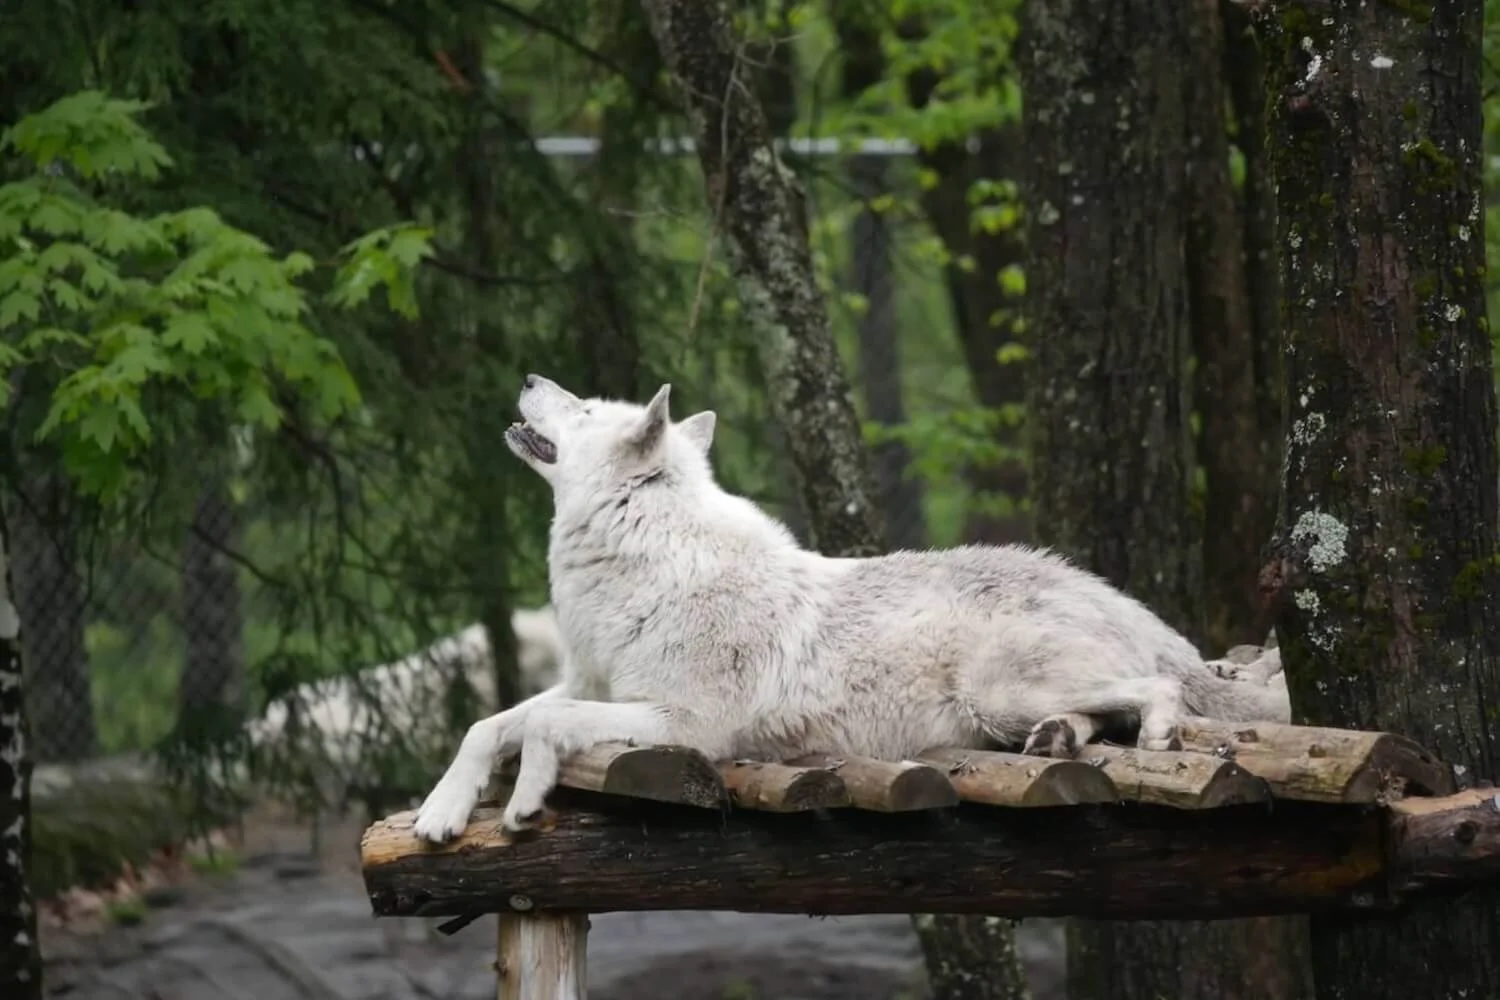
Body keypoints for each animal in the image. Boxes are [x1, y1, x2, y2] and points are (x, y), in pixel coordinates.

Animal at [412, 376, 1290, 842]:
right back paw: (1057, 741)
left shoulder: (685, 724)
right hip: (1005, 705)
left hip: (1001, 687)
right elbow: (490, 723)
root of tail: (1101, 587)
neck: (645, 559)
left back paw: (1157, 735)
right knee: (1092, 715)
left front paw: (525, 799)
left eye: (589, 409)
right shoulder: (591, 684)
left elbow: (540, 726)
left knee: (1156, 690)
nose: (531, 378)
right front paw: (442, 812)